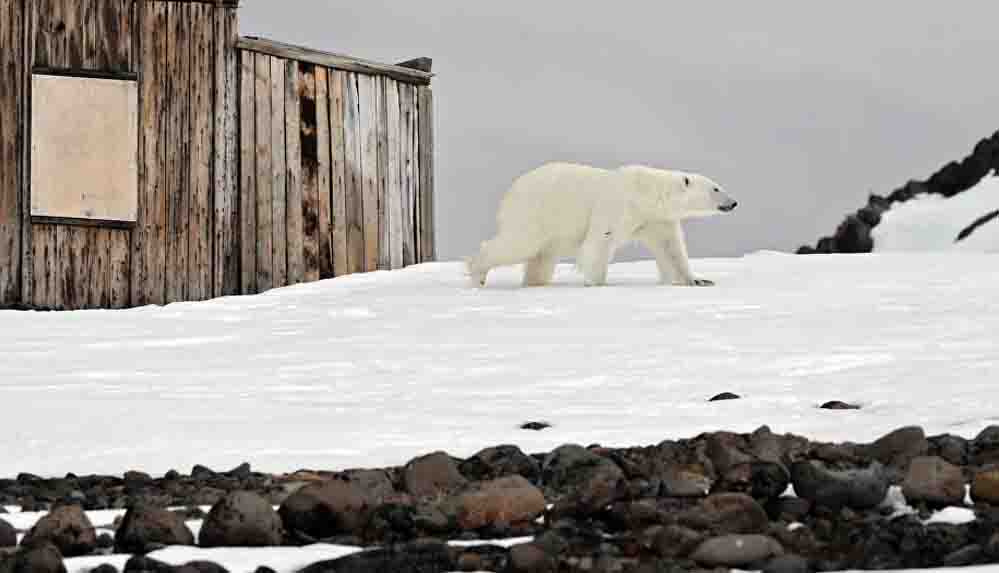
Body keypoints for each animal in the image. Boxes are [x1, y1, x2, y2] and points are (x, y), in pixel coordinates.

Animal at [464, 161, 740, 286]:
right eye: (716, 188)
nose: (734, 202)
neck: (646, 193)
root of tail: (511, 191)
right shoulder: (617, 205)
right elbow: (600, 240)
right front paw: (597, 283)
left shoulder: (655, 219)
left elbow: (670, 249)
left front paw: (698, 280)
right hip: (536, 212)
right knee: (518, 243)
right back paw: (477, 273)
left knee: (541, 258)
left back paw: (536, 282)